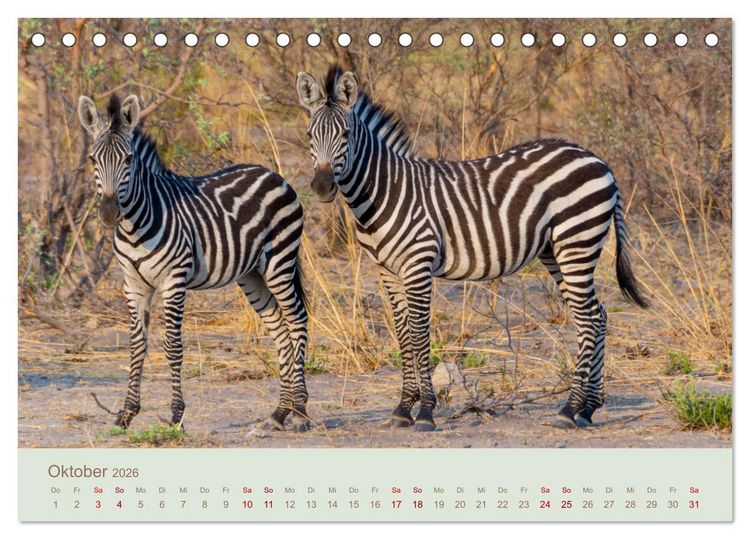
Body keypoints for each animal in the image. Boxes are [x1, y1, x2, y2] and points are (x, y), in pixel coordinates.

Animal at [77, 94, 311, 432]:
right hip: (252, 274)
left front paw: (176, 414)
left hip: (280, 262)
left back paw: (302, 411)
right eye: (93, 160)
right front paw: (126, 413)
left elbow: (173, 346)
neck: (135, 226)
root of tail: (273, 174)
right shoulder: (133, 285)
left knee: (297, 322)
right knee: (280, 330)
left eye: (128, 160)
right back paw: (279, 413)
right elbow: (137, 346)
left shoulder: (174, 281)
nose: (109, 213)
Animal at [296, 66, 648, 432]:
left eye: (346, 134)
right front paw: (403, 408)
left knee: (590, 319)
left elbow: (419, 335)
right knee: (596, 315)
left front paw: (425, 412)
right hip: (558, 251)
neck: (384, 192)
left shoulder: (418, 265)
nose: (322, 187)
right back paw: (589, 407)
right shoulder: (386, 271)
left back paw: (570, 408)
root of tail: (596, 158)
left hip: (577, 242)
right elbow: (403, 335)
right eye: (309, 135)